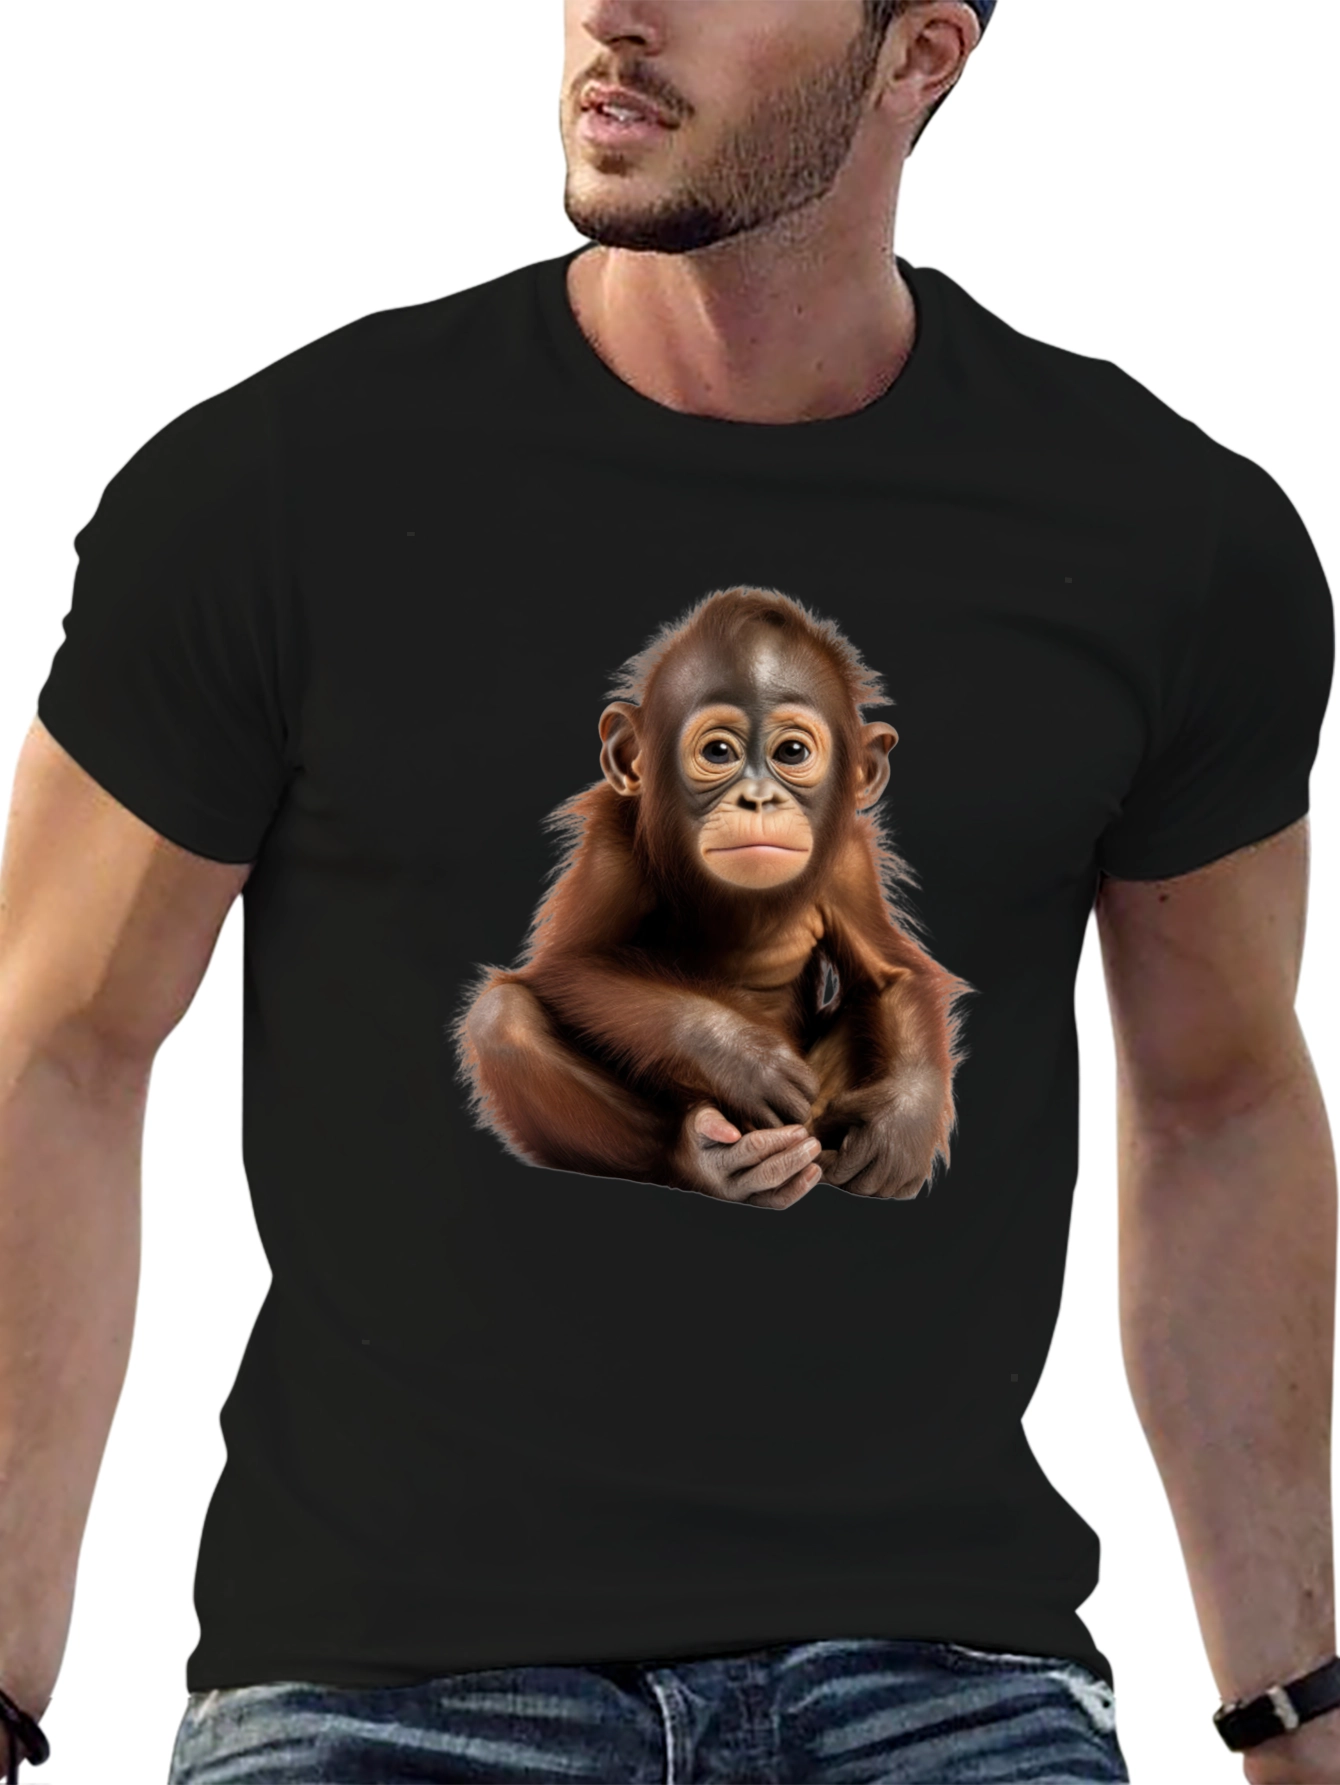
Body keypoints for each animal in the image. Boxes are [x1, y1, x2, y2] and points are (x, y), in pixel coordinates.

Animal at [459, 587, 968, 1211]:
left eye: (792, 751)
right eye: (720, 751)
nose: (758, 797)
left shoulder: (850, 861)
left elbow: (891, 973)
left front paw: (901, 1128)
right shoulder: (612, 841)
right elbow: (574, 964)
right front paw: (741, 1058)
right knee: (501, 1018)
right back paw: (708, 1162)